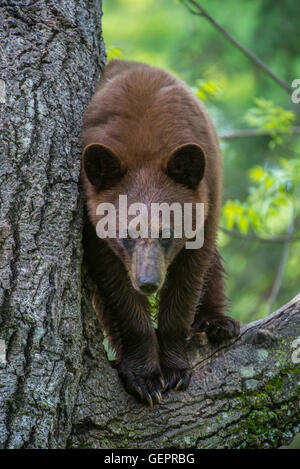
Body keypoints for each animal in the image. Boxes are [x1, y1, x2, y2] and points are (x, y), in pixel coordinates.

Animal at [81, 59, 240, 406]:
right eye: (125, 234)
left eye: (167, 233)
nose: (148, 282)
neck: (145, 145)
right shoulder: (93, 225)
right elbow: (117, 292)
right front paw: (145, 377)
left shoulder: (206, 199)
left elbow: (189, 278)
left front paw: (175, 369)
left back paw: (219, 322)